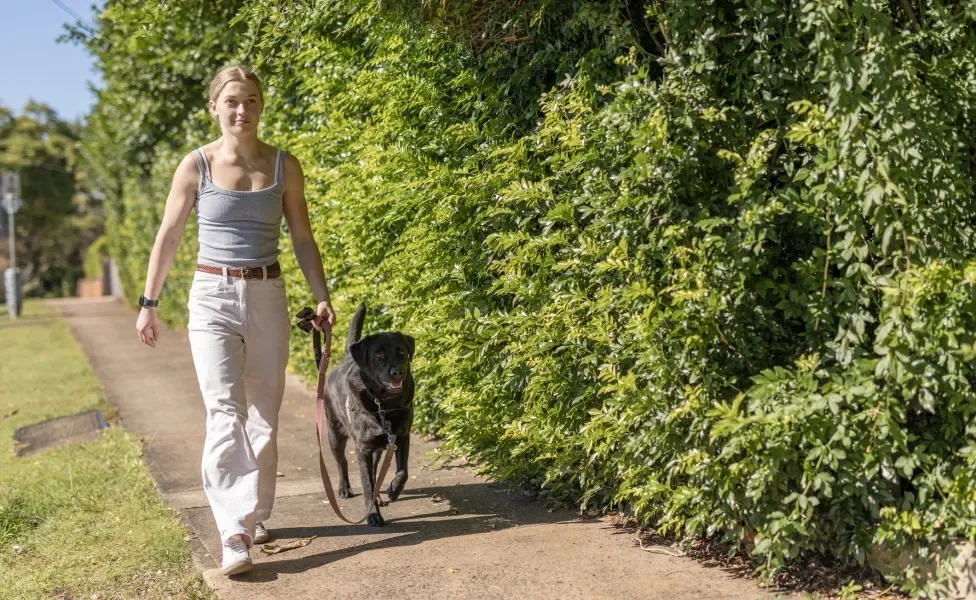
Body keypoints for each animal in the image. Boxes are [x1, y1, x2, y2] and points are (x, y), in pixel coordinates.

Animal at [324, 302, 412, 528]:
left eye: (401, 352)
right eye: (378, 356)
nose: (397, 372)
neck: (384, 404)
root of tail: (348, 356)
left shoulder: (401, 437)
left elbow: (402, 471)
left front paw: (393, 490)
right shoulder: (362, 448)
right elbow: (366, 484)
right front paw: (373, 514)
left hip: (378, 449)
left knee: (373, 469)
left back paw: (379, 495)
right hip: (334, 435)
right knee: (342, 462)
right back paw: (344, 488)